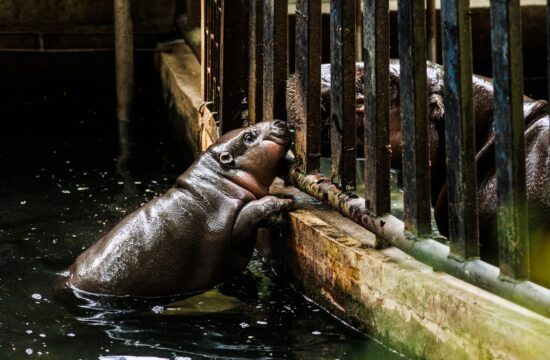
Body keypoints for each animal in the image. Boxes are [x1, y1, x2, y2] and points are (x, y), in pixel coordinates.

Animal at [57, 119, 294, 296]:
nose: (280, 121)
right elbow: (249, 213)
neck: (220, 179)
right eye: (249, 136)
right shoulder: (231, 226)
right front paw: (284, 201)